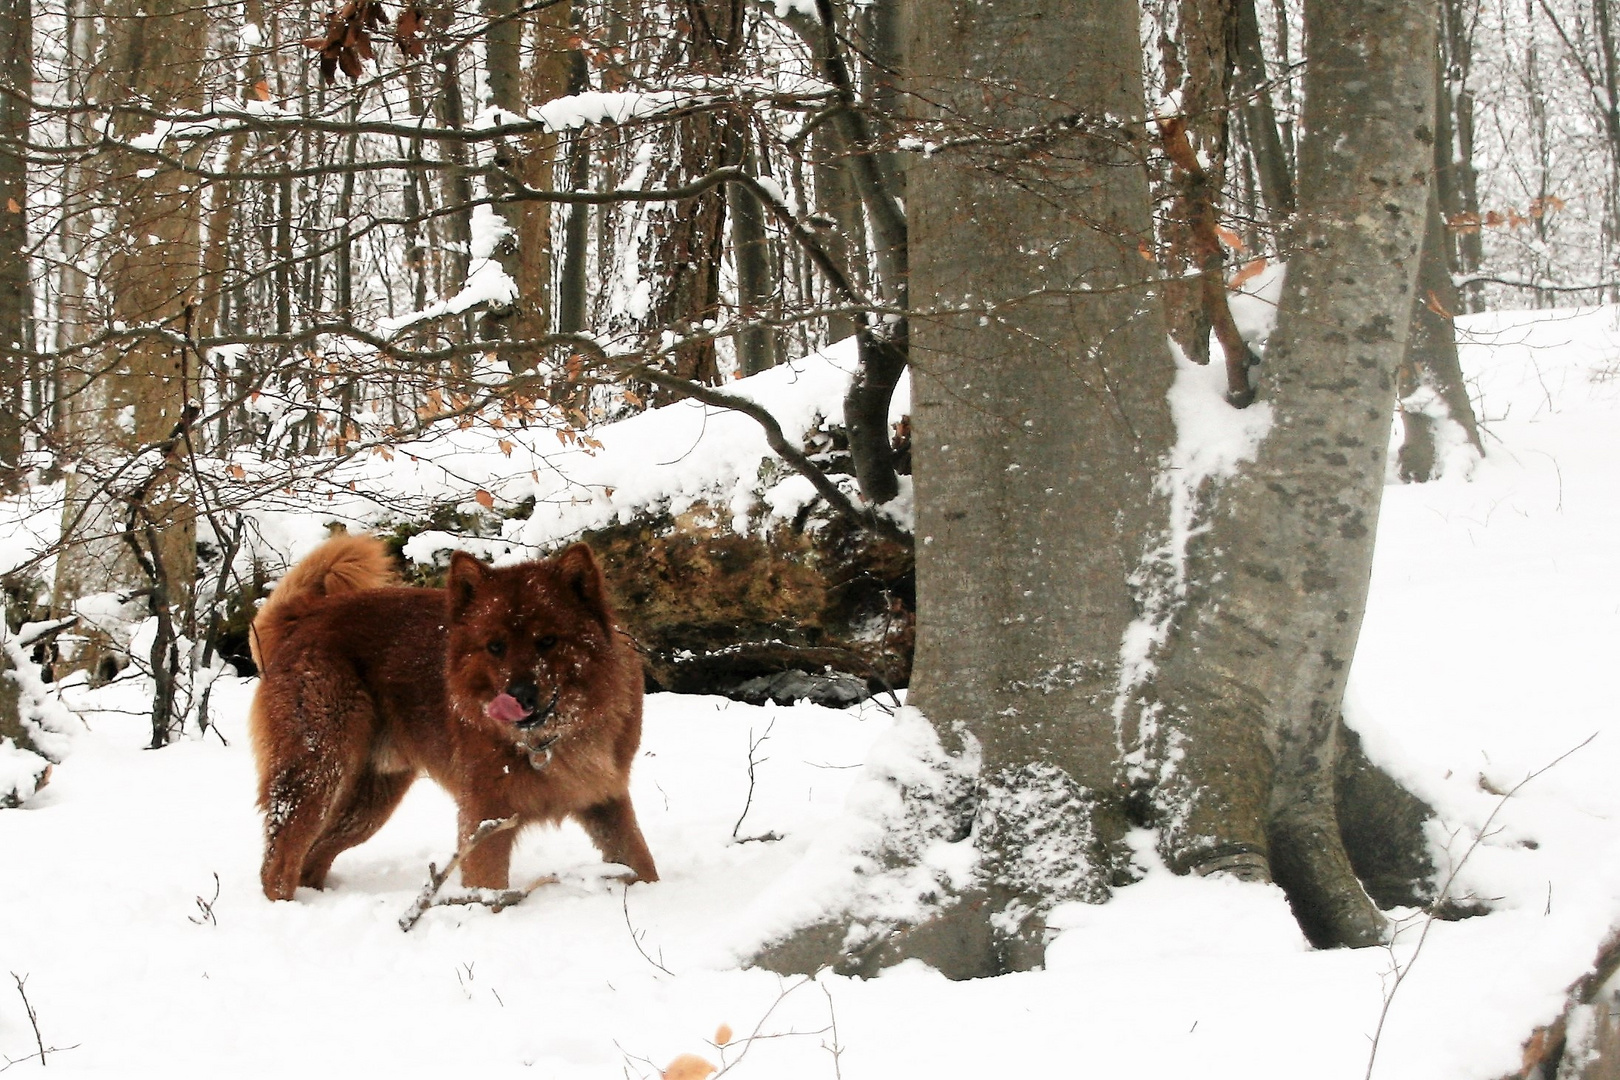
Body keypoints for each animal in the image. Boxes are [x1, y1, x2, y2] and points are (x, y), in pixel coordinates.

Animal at [249, 534, 654, 906]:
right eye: (495, 646)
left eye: (548, 640)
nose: (518, 697)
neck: (548, 739)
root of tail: (306, 615)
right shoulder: (486, 813)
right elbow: (487, 890)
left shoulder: (604, 796)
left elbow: (642, 863)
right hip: (317, 771)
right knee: (279, 862)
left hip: (370, 799)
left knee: (314, 855)